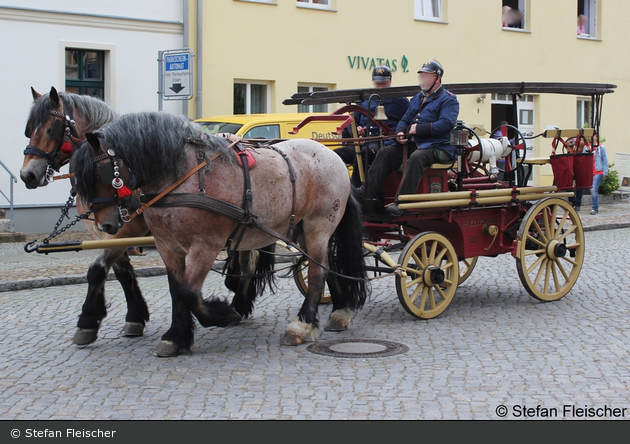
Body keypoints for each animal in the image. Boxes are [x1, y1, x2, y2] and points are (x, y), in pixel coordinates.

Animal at [19, 86, 151, 344]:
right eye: (29, 130)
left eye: (50, 129)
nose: (26, 175)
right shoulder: (106, 232)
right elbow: (121, 272)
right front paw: (135, 317)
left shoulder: (128, 229)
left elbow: (97, 270)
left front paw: (87, 322)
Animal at [71, 112, 370, 358]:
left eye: (102, 173)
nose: (105, 225)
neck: (184, 176)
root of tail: (332, 156)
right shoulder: (167, 246)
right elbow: (175, 291)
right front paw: (175, 337)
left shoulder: (205, 245)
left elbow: (189, 292)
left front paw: (223, 314)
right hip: (301, 229)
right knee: (326, 266)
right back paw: (340, 311)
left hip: (319, 225)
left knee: (318, 272)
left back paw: (302, 325)